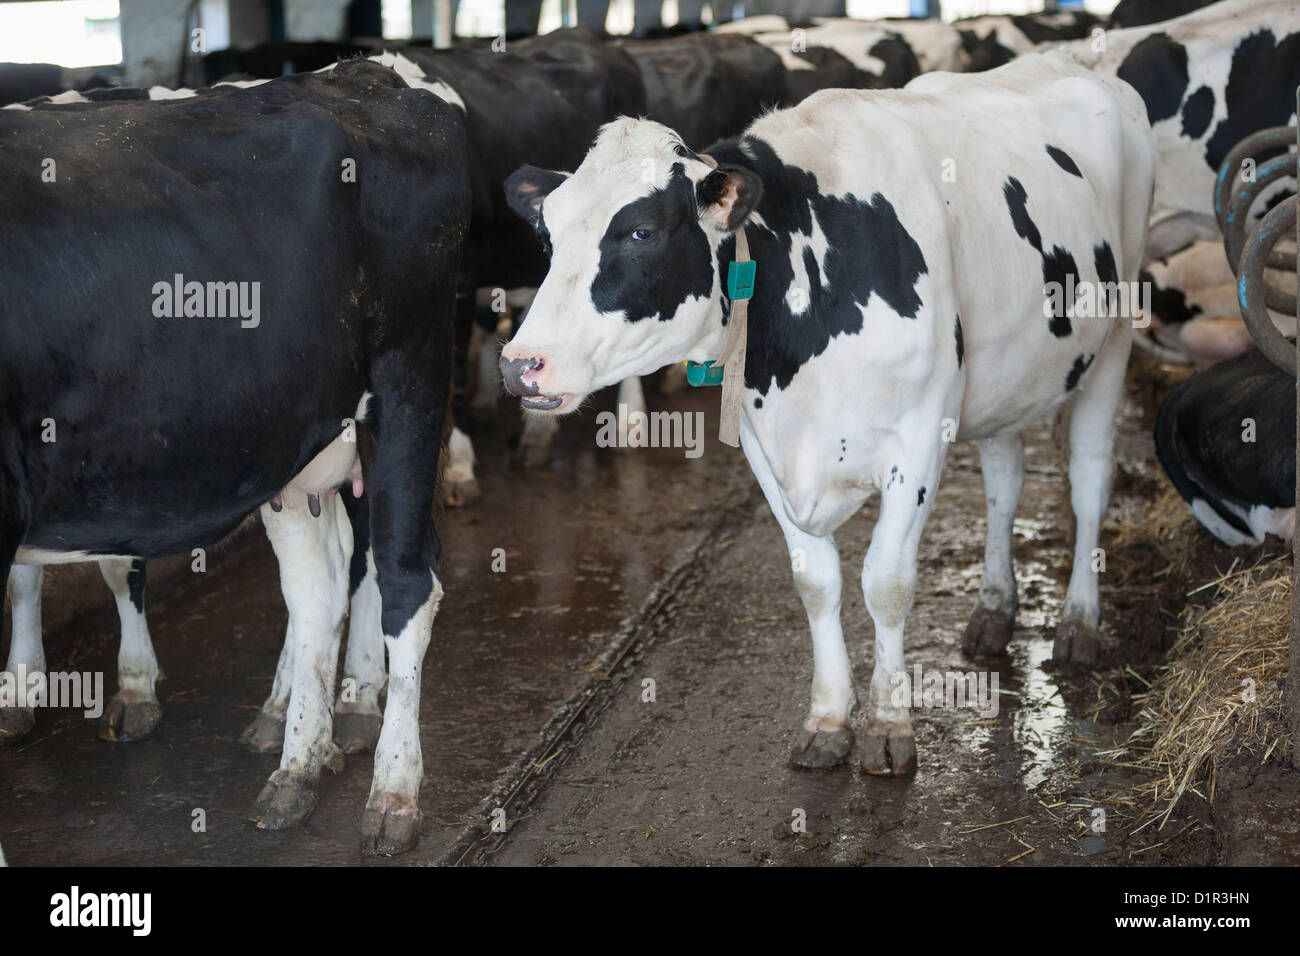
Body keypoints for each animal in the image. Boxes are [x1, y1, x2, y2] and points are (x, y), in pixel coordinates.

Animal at [2, 59, 470, 853]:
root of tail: (372, 72)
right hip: (290, 437)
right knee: (321, 584)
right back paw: (296, 757)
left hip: (409, 379)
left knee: (404, 578)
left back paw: (391, 784)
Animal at [499, 50, 1159, 770]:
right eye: (547, 234)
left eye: (641, 230)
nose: (519, 363)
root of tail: (1073, 59)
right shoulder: (766, 446)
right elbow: (816, 581)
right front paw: (828, 718)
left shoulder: (917, 439)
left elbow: (886, 582)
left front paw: (891, 725)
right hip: (1003, 376)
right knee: (1004, 483)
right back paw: (992, 610)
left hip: (1115, 338)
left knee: (1089, 482)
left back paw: (1079, 623)